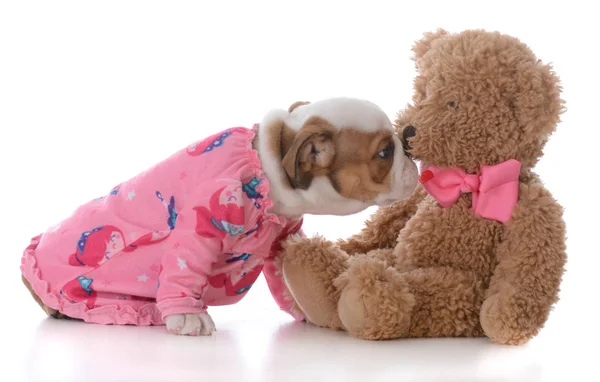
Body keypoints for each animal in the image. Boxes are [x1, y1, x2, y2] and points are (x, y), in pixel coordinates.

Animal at [21, 97, 420, 336]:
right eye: (384, 153)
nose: (408, 142)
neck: (267, 165)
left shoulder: (283, 239)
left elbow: (285, 277)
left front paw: (307, 304)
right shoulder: (206, 218)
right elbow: (185, 266)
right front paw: (187, 314)